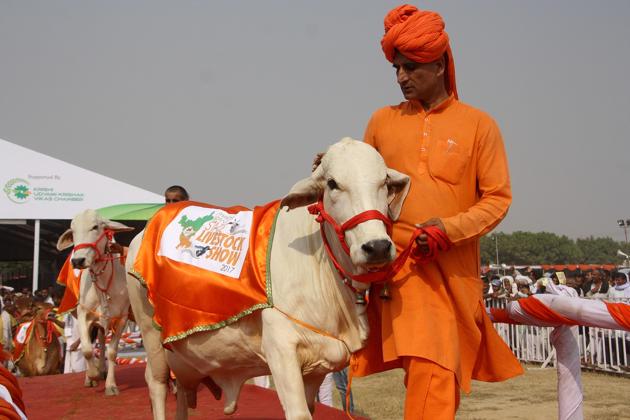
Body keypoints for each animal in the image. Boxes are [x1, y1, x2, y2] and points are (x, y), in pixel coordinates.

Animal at [58, 212, 135, 396]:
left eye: (95, 227)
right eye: (73, 230)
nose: (78, 260)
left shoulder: (121, 318)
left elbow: (112, 352)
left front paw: (110, 385)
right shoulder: (83, 314)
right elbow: (86, 349)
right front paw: (92, 375)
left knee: (101, 340)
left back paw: (102, 370)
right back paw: (93, 374)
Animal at [128, 139, 412, 420]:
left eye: (384, 181)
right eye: (332, 183)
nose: (376, 247)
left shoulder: (317, 368)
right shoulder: (281, 350)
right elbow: (299, 413)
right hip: (151, 338)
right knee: (157, 384)